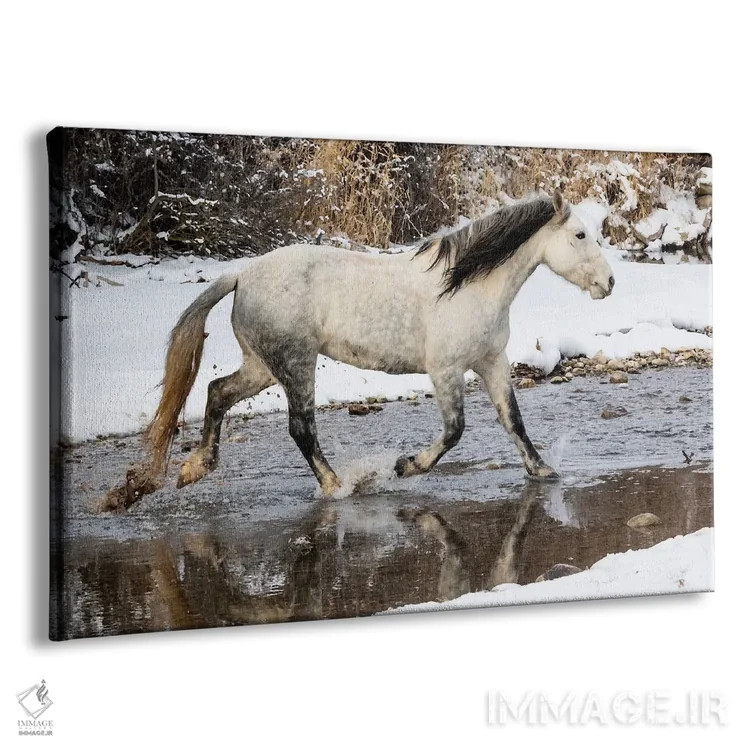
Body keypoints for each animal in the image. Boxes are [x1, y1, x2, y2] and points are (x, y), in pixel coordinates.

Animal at [103, 190, 614, 510]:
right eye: (580, 236)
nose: (609, 283)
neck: (467, 286)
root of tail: (242, 275)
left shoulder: (491, 362)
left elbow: (513, 420)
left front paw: (543, 471)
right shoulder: (446, 370)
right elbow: (454, 431)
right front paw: (405, 466)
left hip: (263, 367)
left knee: (216, 392)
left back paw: (194, 469)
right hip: (296, 364)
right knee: (300, 428)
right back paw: (338, 486)